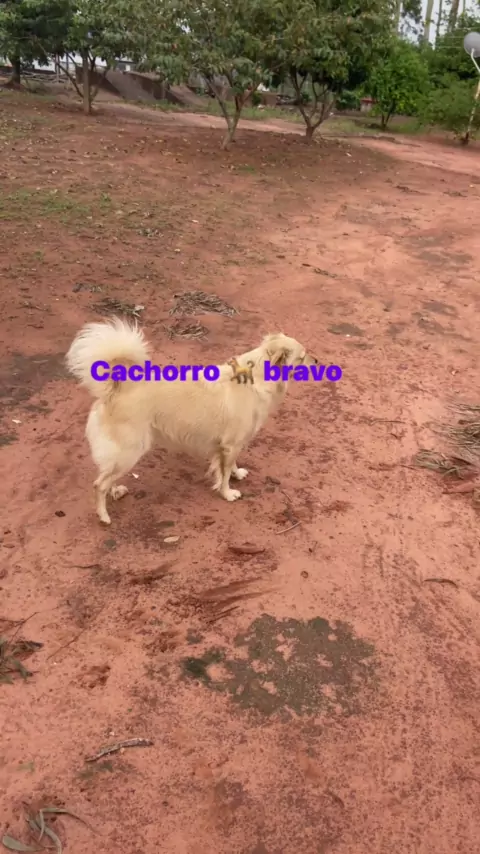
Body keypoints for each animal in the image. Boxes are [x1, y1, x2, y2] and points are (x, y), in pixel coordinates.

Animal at [65, 317, 318, 524]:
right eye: (302, 357)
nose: (317, 360)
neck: (255, 378)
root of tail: (117, 388)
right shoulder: (231, 445)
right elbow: (224, 474)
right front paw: (228, 493)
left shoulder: (230, 446)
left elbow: (230, 466)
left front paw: (237, 474)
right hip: (131, 451)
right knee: (99, 484)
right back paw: (104, 516)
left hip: (122, 455)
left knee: (107, 476)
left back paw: (116, 490)